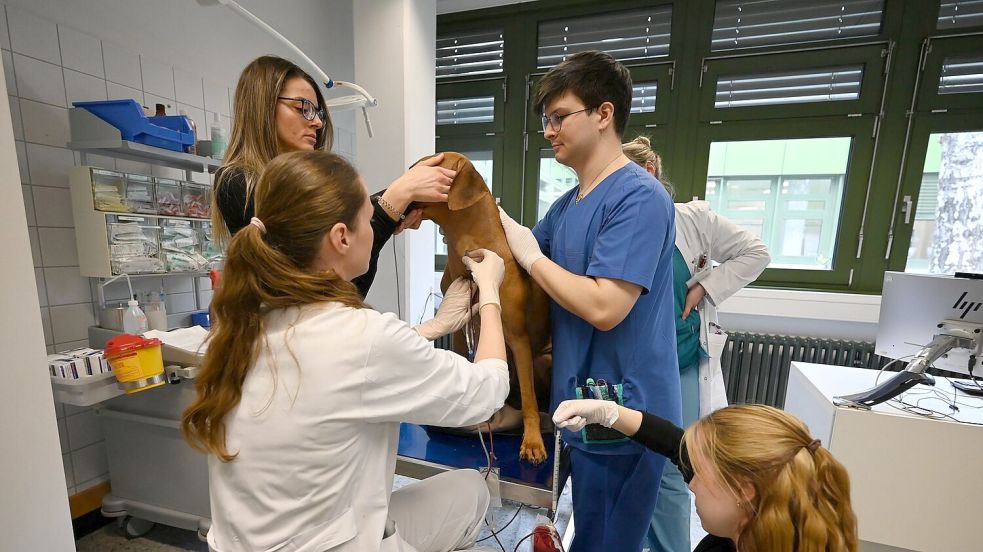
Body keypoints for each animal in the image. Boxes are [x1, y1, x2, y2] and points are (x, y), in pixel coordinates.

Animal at [416, 150, 552, 462]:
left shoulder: (518, 338)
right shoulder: (458, 333)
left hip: (543, 359)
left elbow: (529, 399)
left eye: (426, 167)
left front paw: (532, 441)